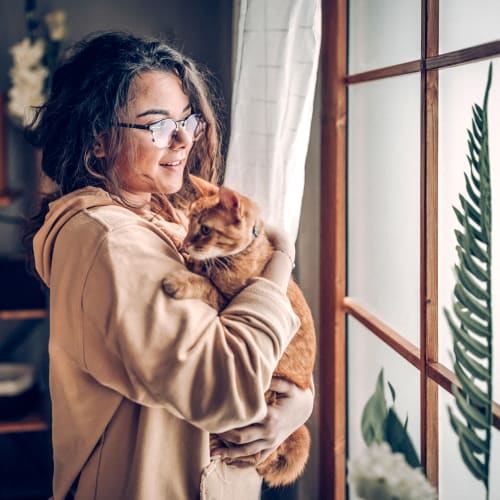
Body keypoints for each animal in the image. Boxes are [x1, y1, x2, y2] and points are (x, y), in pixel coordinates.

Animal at [162, 174, 314, 486]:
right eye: (191, 221)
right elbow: (196, 267)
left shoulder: (227, 304)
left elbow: (203, 284)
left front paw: (181, 280)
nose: (186, 243)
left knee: (256, 458)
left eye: (205, 229)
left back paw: (222, 448)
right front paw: (172, 233)